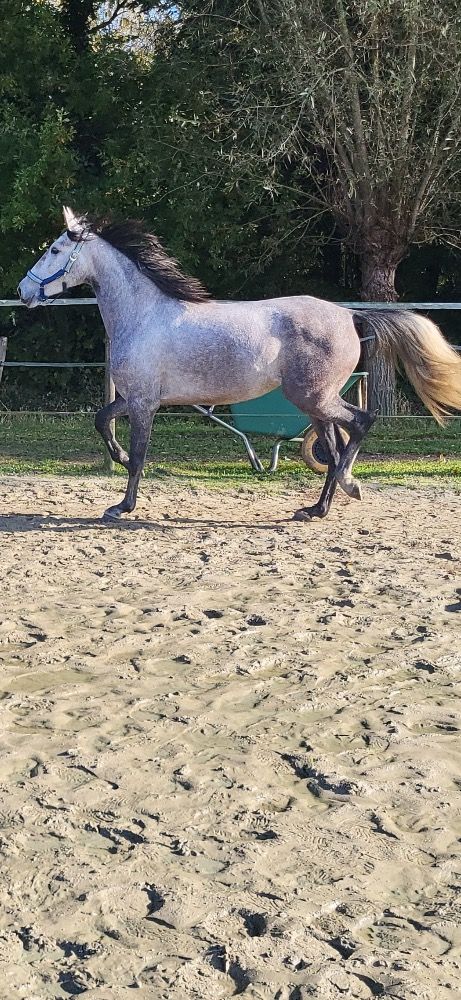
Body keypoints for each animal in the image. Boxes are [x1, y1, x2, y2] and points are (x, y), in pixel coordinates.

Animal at [18, 207, 461, 522]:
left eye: (54, 250)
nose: (23, 291)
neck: (143, 316)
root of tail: (350, 315)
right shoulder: (136, 398)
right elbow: (102, 421)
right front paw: (120, 465)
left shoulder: (144, 404)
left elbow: (139, 453)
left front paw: (122, 507)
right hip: (315, 404)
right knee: (335, 450)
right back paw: (316, 509)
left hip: (313, 398)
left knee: (361, 422)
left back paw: (347, 487)